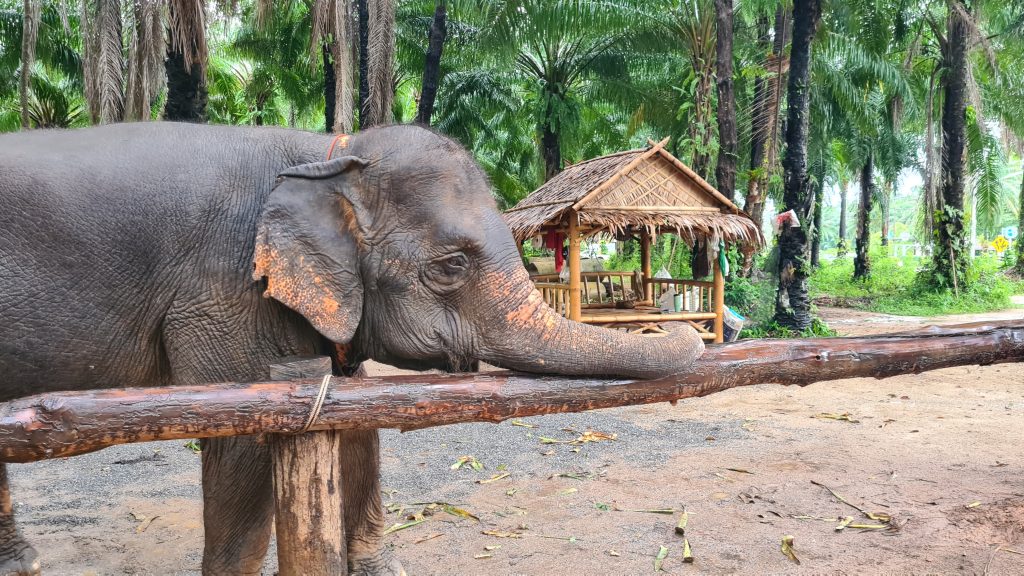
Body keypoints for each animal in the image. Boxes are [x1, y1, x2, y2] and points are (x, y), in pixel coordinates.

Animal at [0, 122, 704, 575]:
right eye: (450, 266)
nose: (685, 329)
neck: (325, 154)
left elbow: (358, 417)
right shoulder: (222, 286)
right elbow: (242, 441)